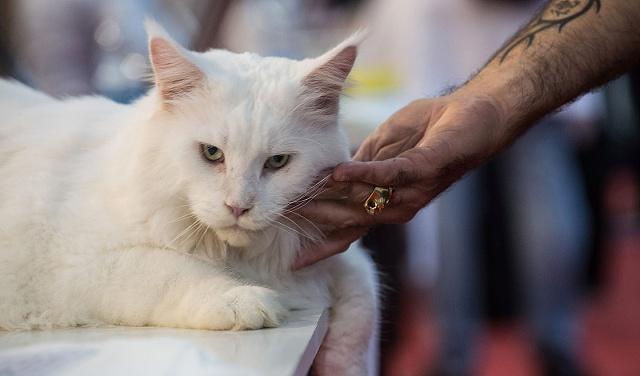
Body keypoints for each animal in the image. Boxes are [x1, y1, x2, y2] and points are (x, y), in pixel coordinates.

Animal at [0, 22, 378, 374]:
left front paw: (342, 366)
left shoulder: (337, 262)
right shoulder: (72, 266)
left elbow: (361, 310)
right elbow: (174, 271)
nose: (238, 206)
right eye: (211, 153)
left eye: (277, 162)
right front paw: (241, 299)